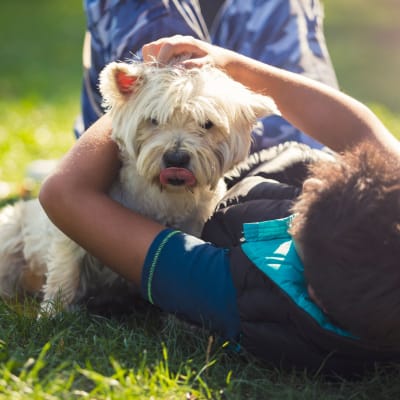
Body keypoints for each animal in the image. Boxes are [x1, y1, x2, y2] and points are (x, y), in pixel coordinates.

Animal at [0, 61, 278, 312]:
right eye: (153, 120)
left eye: (207, 124)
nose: (176, 158)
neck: (166, 195)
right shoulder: (67, 229)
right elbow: (65, 272)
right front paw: (52, 314)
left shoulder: (195, 227)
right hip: (11, 230)